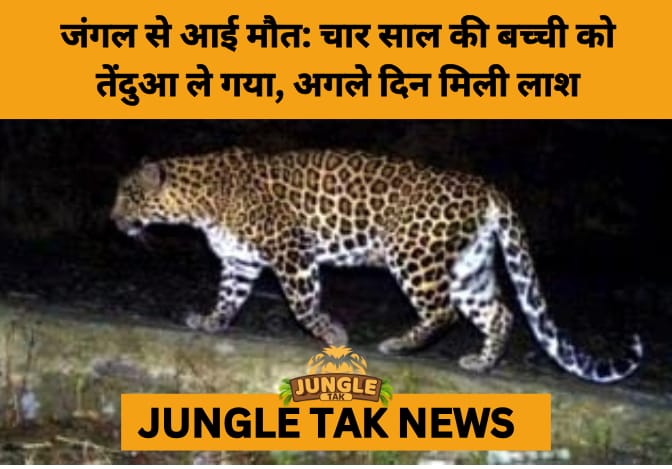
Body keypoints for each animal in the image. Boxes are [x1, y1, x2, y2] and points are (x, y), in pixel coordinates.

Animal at [111, 147, 643, 383]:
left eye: (128, 196)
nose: (113, 220)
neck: (199, 201)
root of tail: (485, 187)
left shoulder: (292, 249)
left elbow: (303, 303)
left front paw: (332, 334)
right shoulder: (240, 261)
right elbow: (228, 298)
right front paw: (210, 322)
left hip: (413, 254)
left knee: (444, 311)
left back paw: (397, 345)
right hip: (468, 266)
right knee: (500, 313)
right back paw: (481, 363)